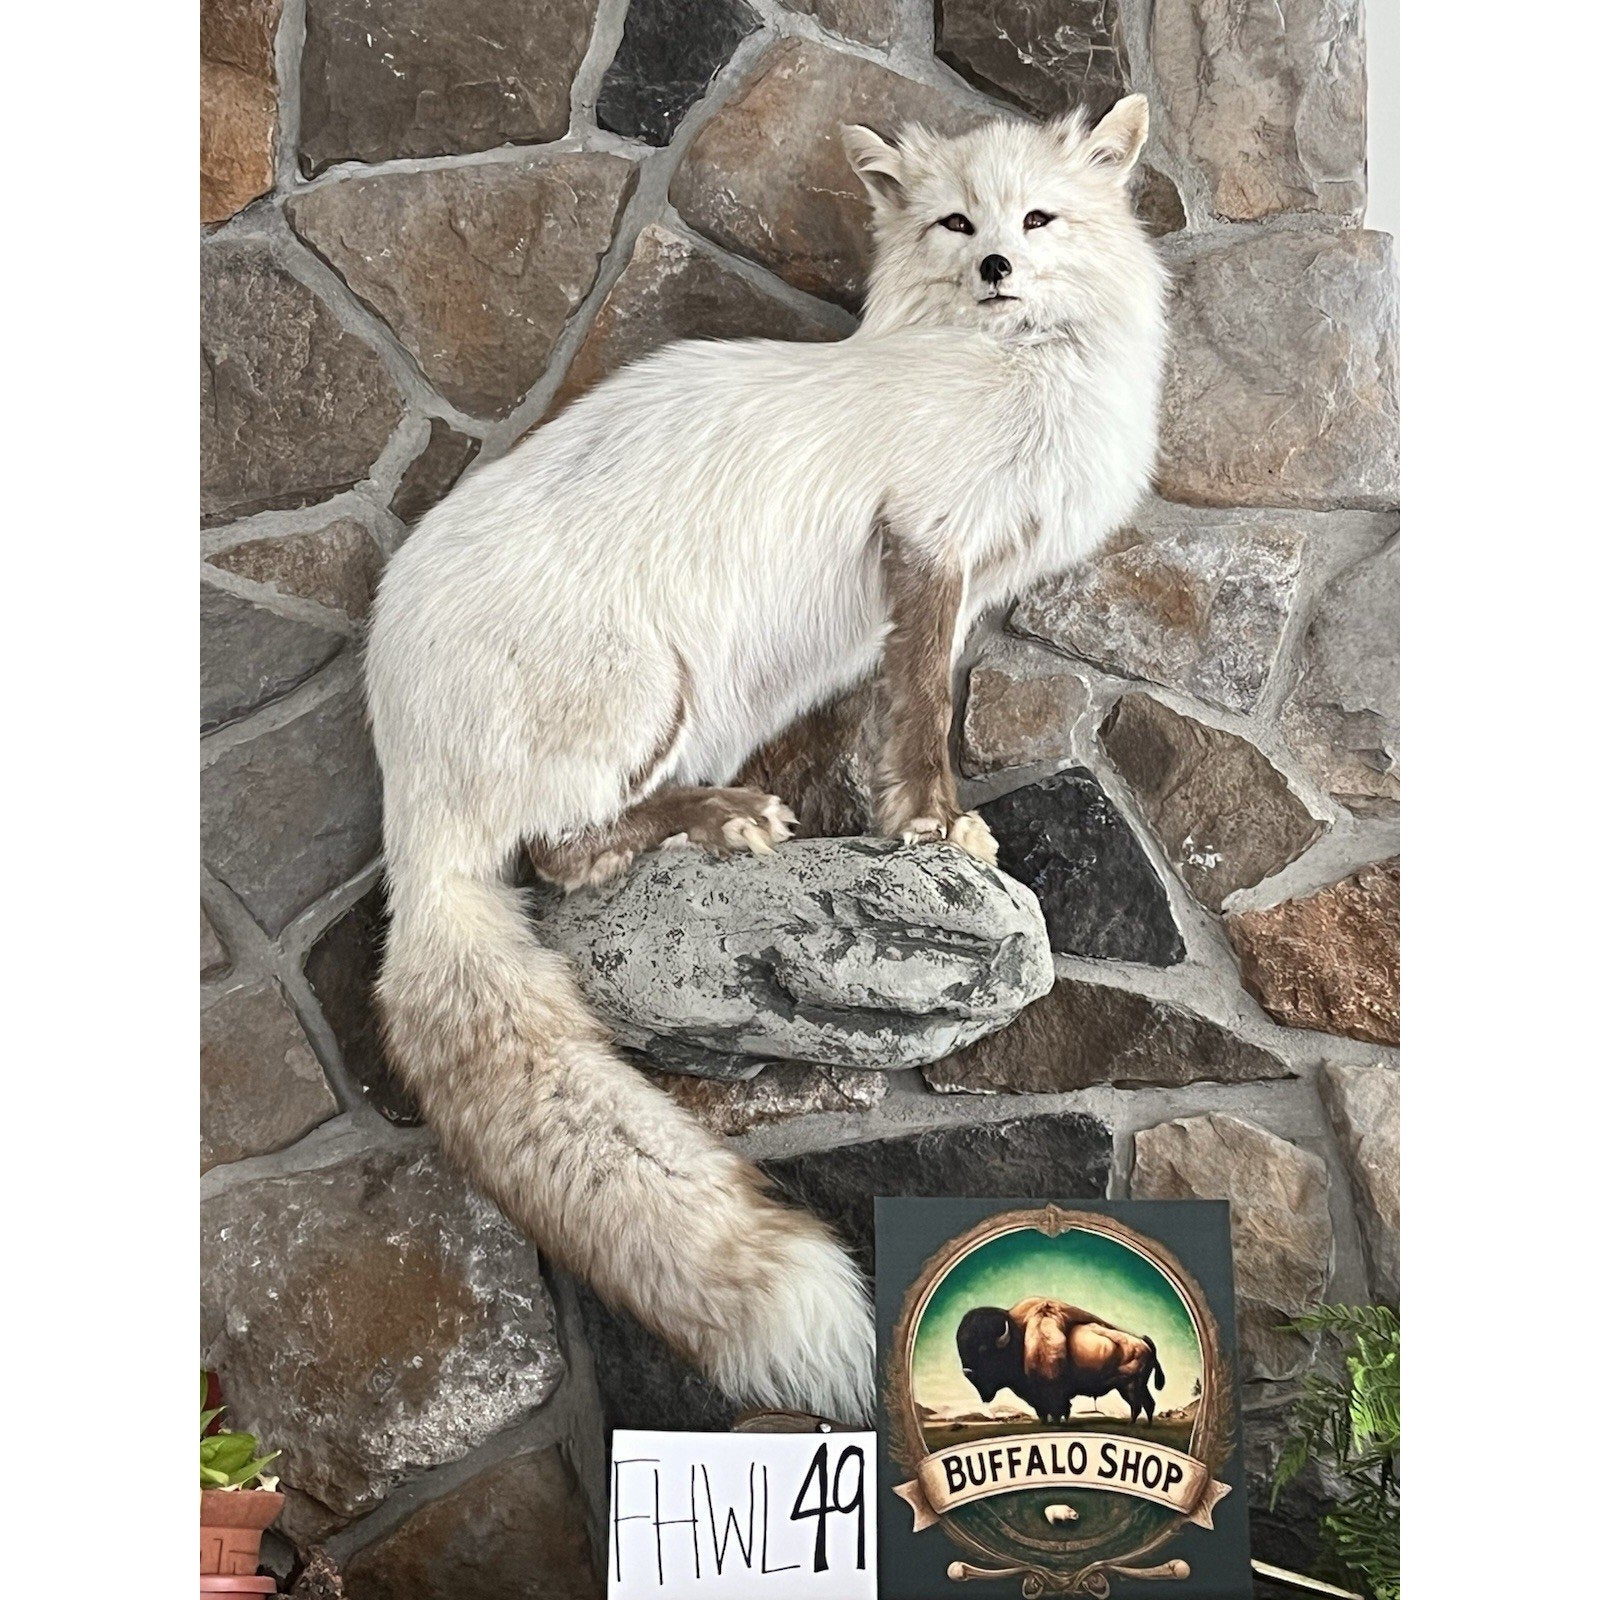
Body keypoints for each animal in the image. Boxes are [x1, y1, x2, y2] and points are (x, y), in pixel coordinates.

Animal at [364, 97, 1167, 1425]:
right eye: (958, 223)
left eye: (1037, 217)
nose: (998, 269)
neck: (1010, 375)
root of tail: (403, 764)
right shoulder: (928, 538)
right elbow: (919, 715)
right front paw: (935, 826)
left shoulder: (948, 585)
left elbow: (891, 714)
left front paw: (893, 814)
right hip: (646, 690)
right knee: (565, 853)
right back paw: (724, 819)